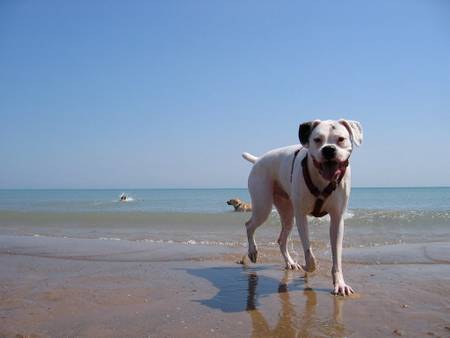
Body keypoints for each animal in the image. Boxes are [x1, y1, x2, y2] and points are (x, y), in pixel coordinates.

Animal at [243, 119, 362, 296]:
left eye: (341, 139)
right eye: (317, 140)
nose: (328, 149)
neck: (321, 179)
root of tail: (258, 159)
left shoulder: (337, 220)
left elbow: (337, 256)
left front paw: (339, 283)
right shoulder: (301, 216)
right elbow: (309, 253)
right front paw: (308, 266)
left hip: (287, 214)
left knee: (281, 239)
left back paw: (290, 263)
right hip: (263, 206)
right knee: (249, 225)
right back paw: (252, 251)